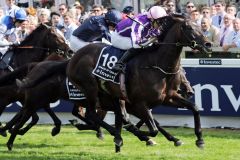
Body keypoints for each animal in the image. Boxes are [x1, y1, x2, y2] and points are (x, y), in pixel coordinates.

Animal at [66, 14, 212, 150]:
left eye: (200, 26)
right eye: (189, 28)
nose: (208, 44)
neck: (156, 65)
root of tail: (75, 56)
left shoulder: (168, 97)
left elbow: (194, 108)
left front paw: (200, 139)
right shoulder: (140, 103)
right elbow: (153, 130)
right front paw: (139, 134)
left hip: (108, 95)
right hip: (90, 88)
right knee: (92, 113)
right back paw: (110, 133)